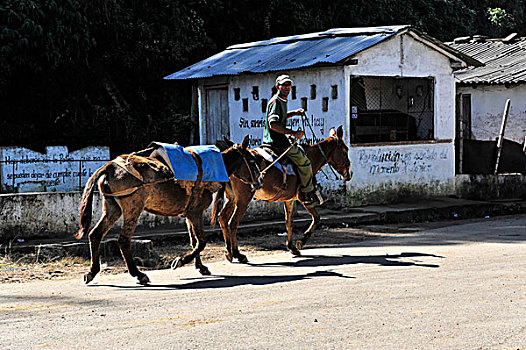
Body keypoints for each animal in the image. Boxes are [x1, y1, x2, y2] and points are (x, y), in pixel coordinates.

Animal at [76, 135, 262, 284]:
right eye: (252, 161)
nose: (260, 180)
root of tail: (110, 166)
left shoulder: (189, 215)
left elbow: (194, 241)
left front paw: (200, 267)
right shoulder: (195, 213)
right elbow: (201, 242)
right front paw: (180, 261)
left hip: (113, 209)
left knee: (95, 234)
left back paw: (92, 272)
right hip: (132, 210)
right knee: (123, 241)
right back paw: (138, 274)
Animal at [212, 126, 352, 262]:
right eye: (345, 150)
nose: (349, 173)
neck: (311, 157)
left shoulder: (289, 199)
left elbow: (289, 221)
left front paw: (292, 247)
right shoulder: (304, 198)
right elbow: (316, 218)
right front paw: (301, 241)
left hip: (232, 199)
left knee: (223, 218)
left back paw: (229, 252)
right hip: (243, 200)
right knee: (233, 223)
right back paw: (238, 254)